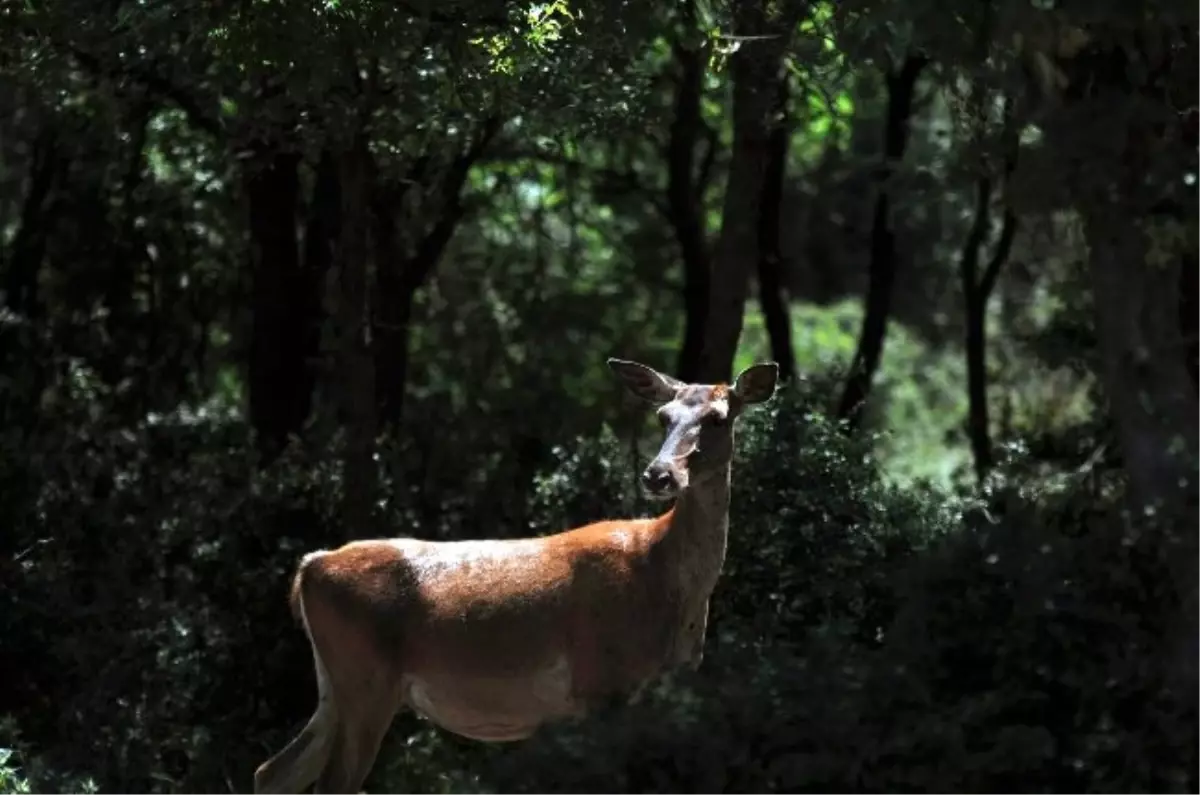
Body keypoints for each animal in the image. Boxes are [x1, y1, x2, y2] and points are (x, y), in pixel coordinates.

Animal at [253, 360, 777, 795]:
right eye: (663, 417)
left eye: (719, 417)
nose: (658, 475)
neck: (666, 581)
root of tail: (310, 566)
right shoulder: (600, 682)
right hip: (366, 678)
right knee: (329, 782)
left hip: (334, 684)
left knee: (273, 771)